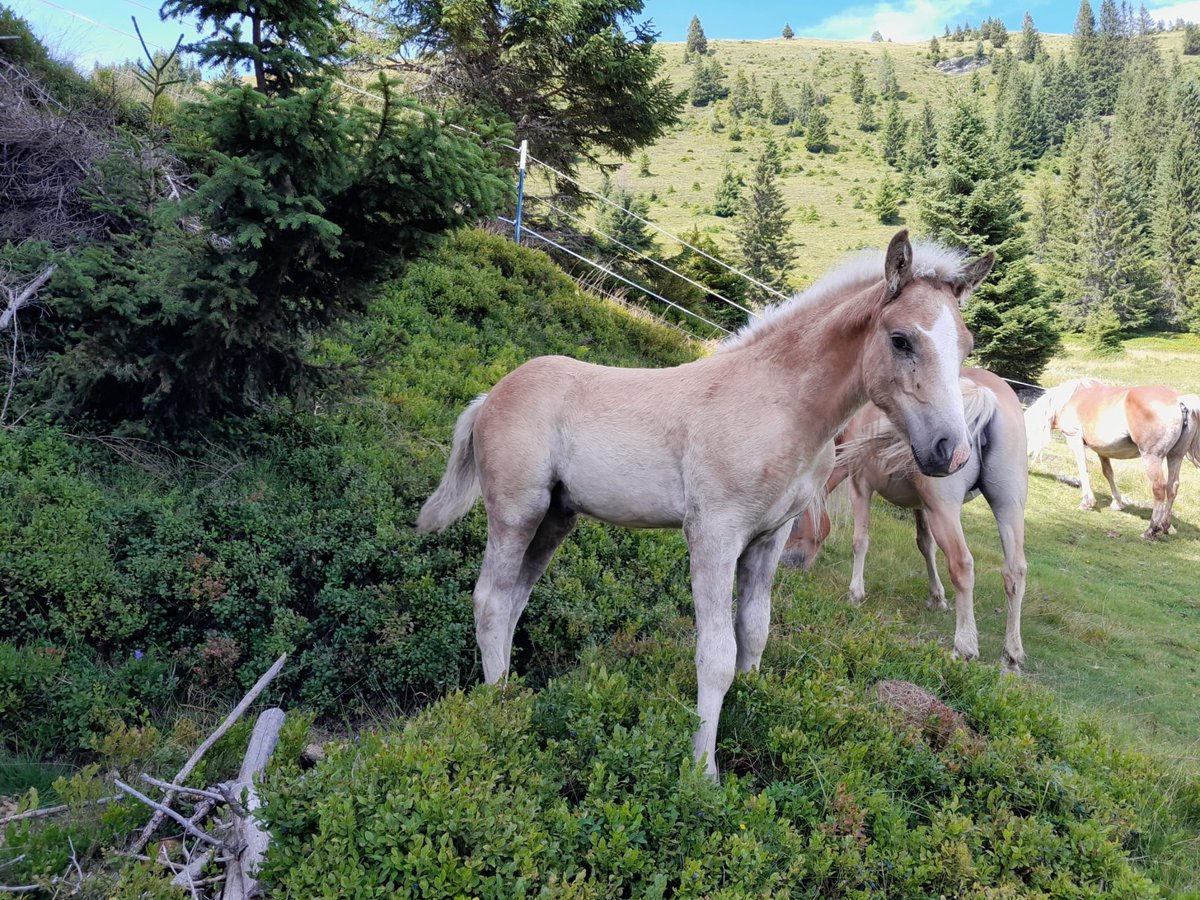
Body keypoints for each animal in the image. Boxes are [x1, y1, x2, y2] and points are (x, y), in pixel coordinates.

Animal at [417, 230, 988, 777]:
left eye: (965, 345)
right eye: (900, 339)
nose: (951, 451)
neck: (778, 405)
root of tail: (489, 397)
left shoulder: (769, 538)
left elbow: (754, 634)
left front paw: (752, 716)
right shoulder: (714, 533)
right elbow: (716, 655)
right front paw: (702, 772)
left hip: (557, 518)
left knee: (514, 598)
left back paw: (513, 692)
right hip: (517, 511)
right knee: (490, 599)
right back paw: (498, 705)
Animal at [782, 369, 1027, 672]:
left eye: (792, 523)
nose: (788, 565)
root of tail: (984, 394)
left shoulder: (860, 487)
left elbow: (860, 540)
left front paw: (855, 593)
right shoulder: (922, 506)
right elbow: (925, 545)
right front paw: (936, 596)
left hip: (947, 511)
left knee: (962, 564)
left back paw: (964, 646)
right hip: (1008, 506)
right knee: (1014, 570)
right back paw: (1011, 653)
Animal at [1022, 376, 1200, 540]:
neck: (1069, 399)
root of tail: (1180, 400)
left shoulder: (1074, 438)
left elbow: (1083, 469)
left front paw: (1087, 502)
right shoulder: (1102, 450)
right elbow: (1108, 473)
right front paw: (1117, 502)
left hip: (1152, 457)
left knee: (1159, 488)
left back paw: (1151, 530)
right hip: (1175, 456)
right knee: (1172, 487)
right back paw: (1165, 526)